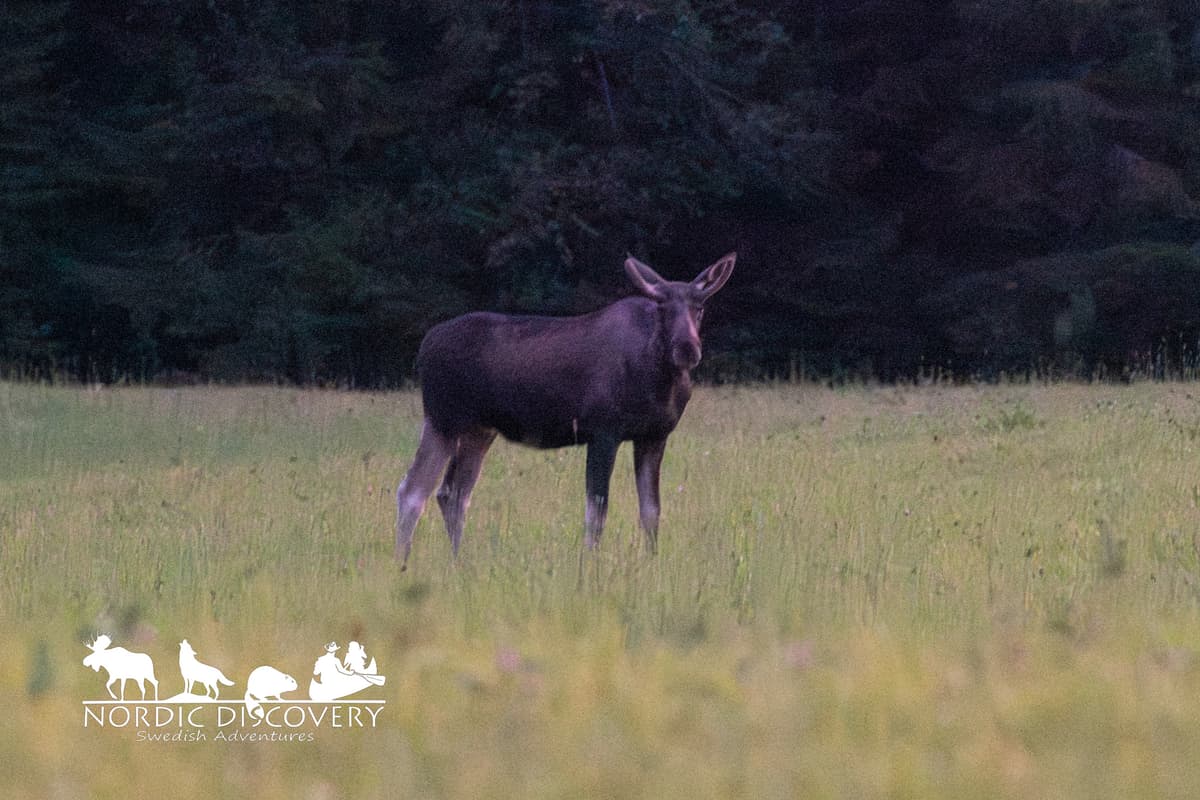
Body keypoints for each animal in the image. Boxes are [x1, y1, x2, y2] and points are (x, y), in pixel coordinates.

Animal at [394, 252, 735, 568]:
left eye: (699, 307)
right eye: (662, 308)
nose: (687, 347)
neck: (659, 382)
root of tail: (423, 348)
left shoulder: (654, 436)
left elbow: (651, 510)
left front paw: (652, 561)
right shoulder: (603, 432)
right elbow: (597, 511)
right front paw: (591, 565)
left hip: (479, 430)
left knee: (452, 493)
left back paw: (457, 562)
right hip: (443, 419)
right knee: (413, 490)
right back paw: (402, 563)